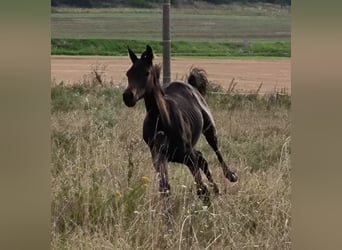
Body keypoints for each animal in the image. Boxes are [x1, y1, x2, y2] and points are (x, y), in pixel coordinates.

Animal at [123, 45, 238, 205]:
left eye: (146, 73)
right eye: (128, 73)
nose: (128, 96)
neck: (162, 121)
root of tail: (190, 85)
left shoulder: (188, 156)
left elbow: (201, 188)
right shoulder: (159, 158)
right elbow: (165, 189)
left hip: (208, 128)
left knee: (216, 150)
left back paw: (230, 176)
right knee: (202, 158)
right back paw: (217, 190)